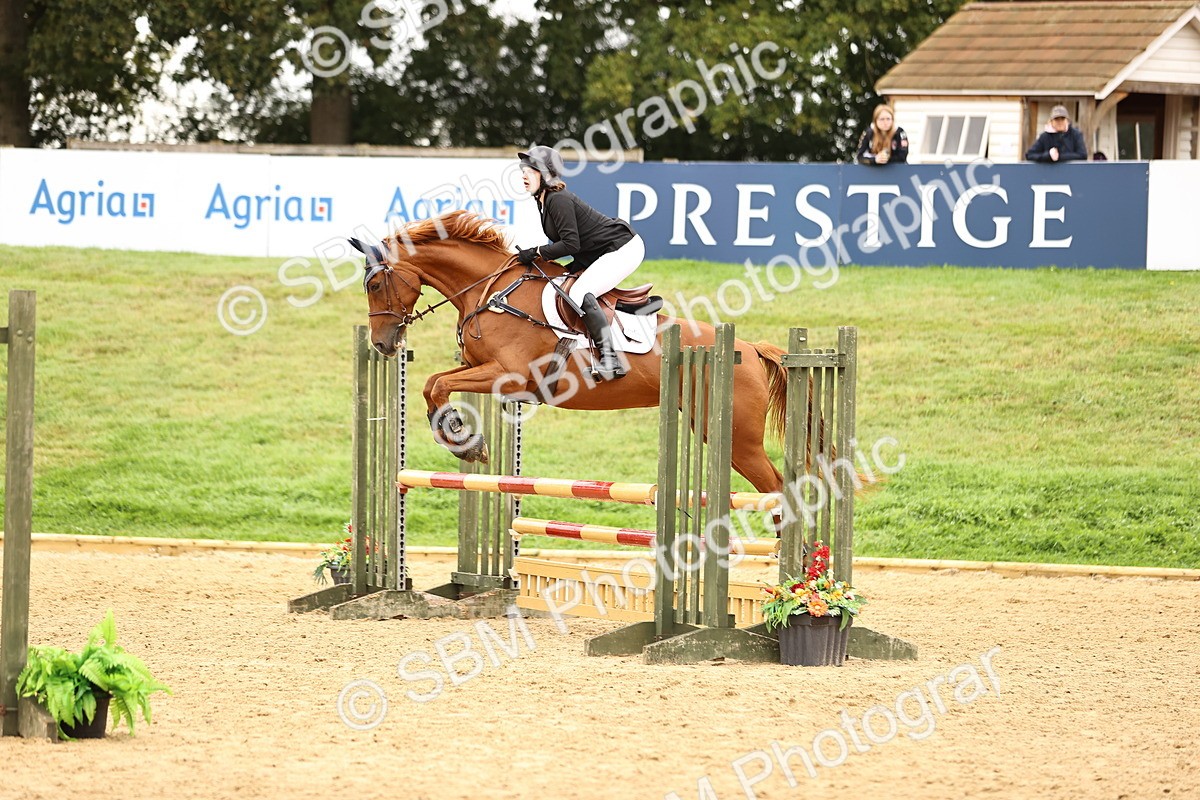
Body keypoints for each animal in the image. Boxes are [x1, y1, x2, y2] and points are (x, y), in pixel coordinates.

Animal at [352, 210, 789, 495]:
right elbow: (434, 384)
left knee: (778, 488)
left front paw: (464, 437)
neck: (490, 291)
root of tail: (750, 349)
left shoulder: (508, 373)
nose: (382, 344)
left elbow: (436, 384)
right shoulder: (480, 368)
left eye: (374, 285)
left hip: (739, 439)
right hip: (713, 430)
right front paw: (462, 437)